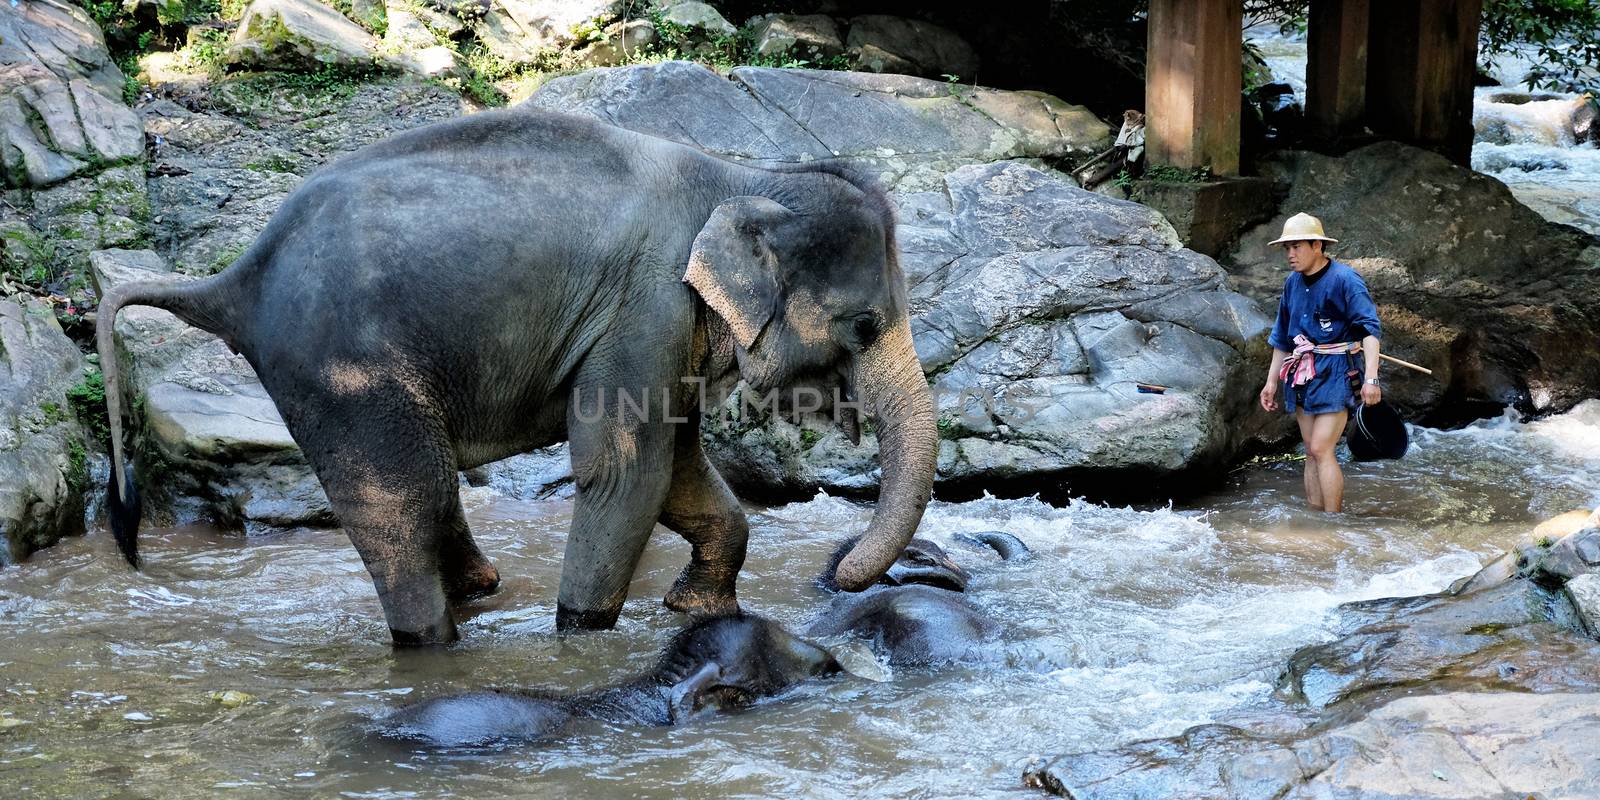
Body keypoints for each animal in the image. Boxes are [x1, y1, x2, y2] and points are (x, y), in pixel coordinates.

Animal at [96, 106, 934, 643]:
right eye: (865, 326)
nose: (838, 569)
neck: (740, 176)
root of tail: (234, 280)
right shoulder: (644, 306)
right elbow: (623, 470)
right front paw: (582, 635)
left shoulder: (664, 332)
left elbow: (678, 464)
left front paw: (695, 610)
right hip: (341, 370)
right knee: (399, 500)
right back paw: (434, 642)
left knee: (431, 486)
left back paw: (479, 593)